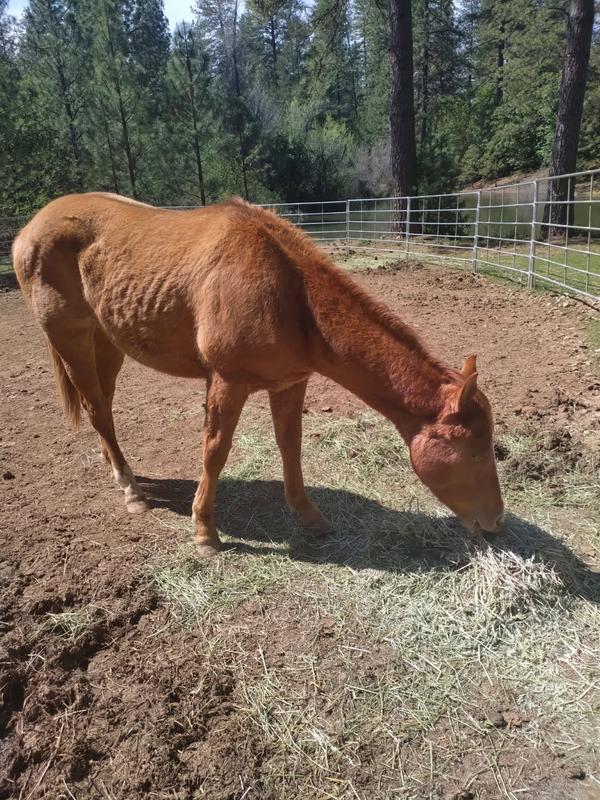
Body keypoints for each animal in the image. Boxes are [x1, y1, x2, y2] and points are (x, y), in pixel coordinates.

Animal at [13, 193, 505, 556]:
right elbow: (214, 451)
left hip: (107, 343)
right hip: (72, 341)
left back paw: (116, 468)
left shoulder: (290, 383)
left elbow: (291, 446)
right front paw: (205, 533)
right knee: (97, 408)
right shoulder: (227, 383)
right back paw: (131, 490)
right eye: (478, 452)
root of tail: (29, 229)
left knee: (104, 407)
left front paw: (310, 516)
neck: (288, 292)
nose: (496, 522)